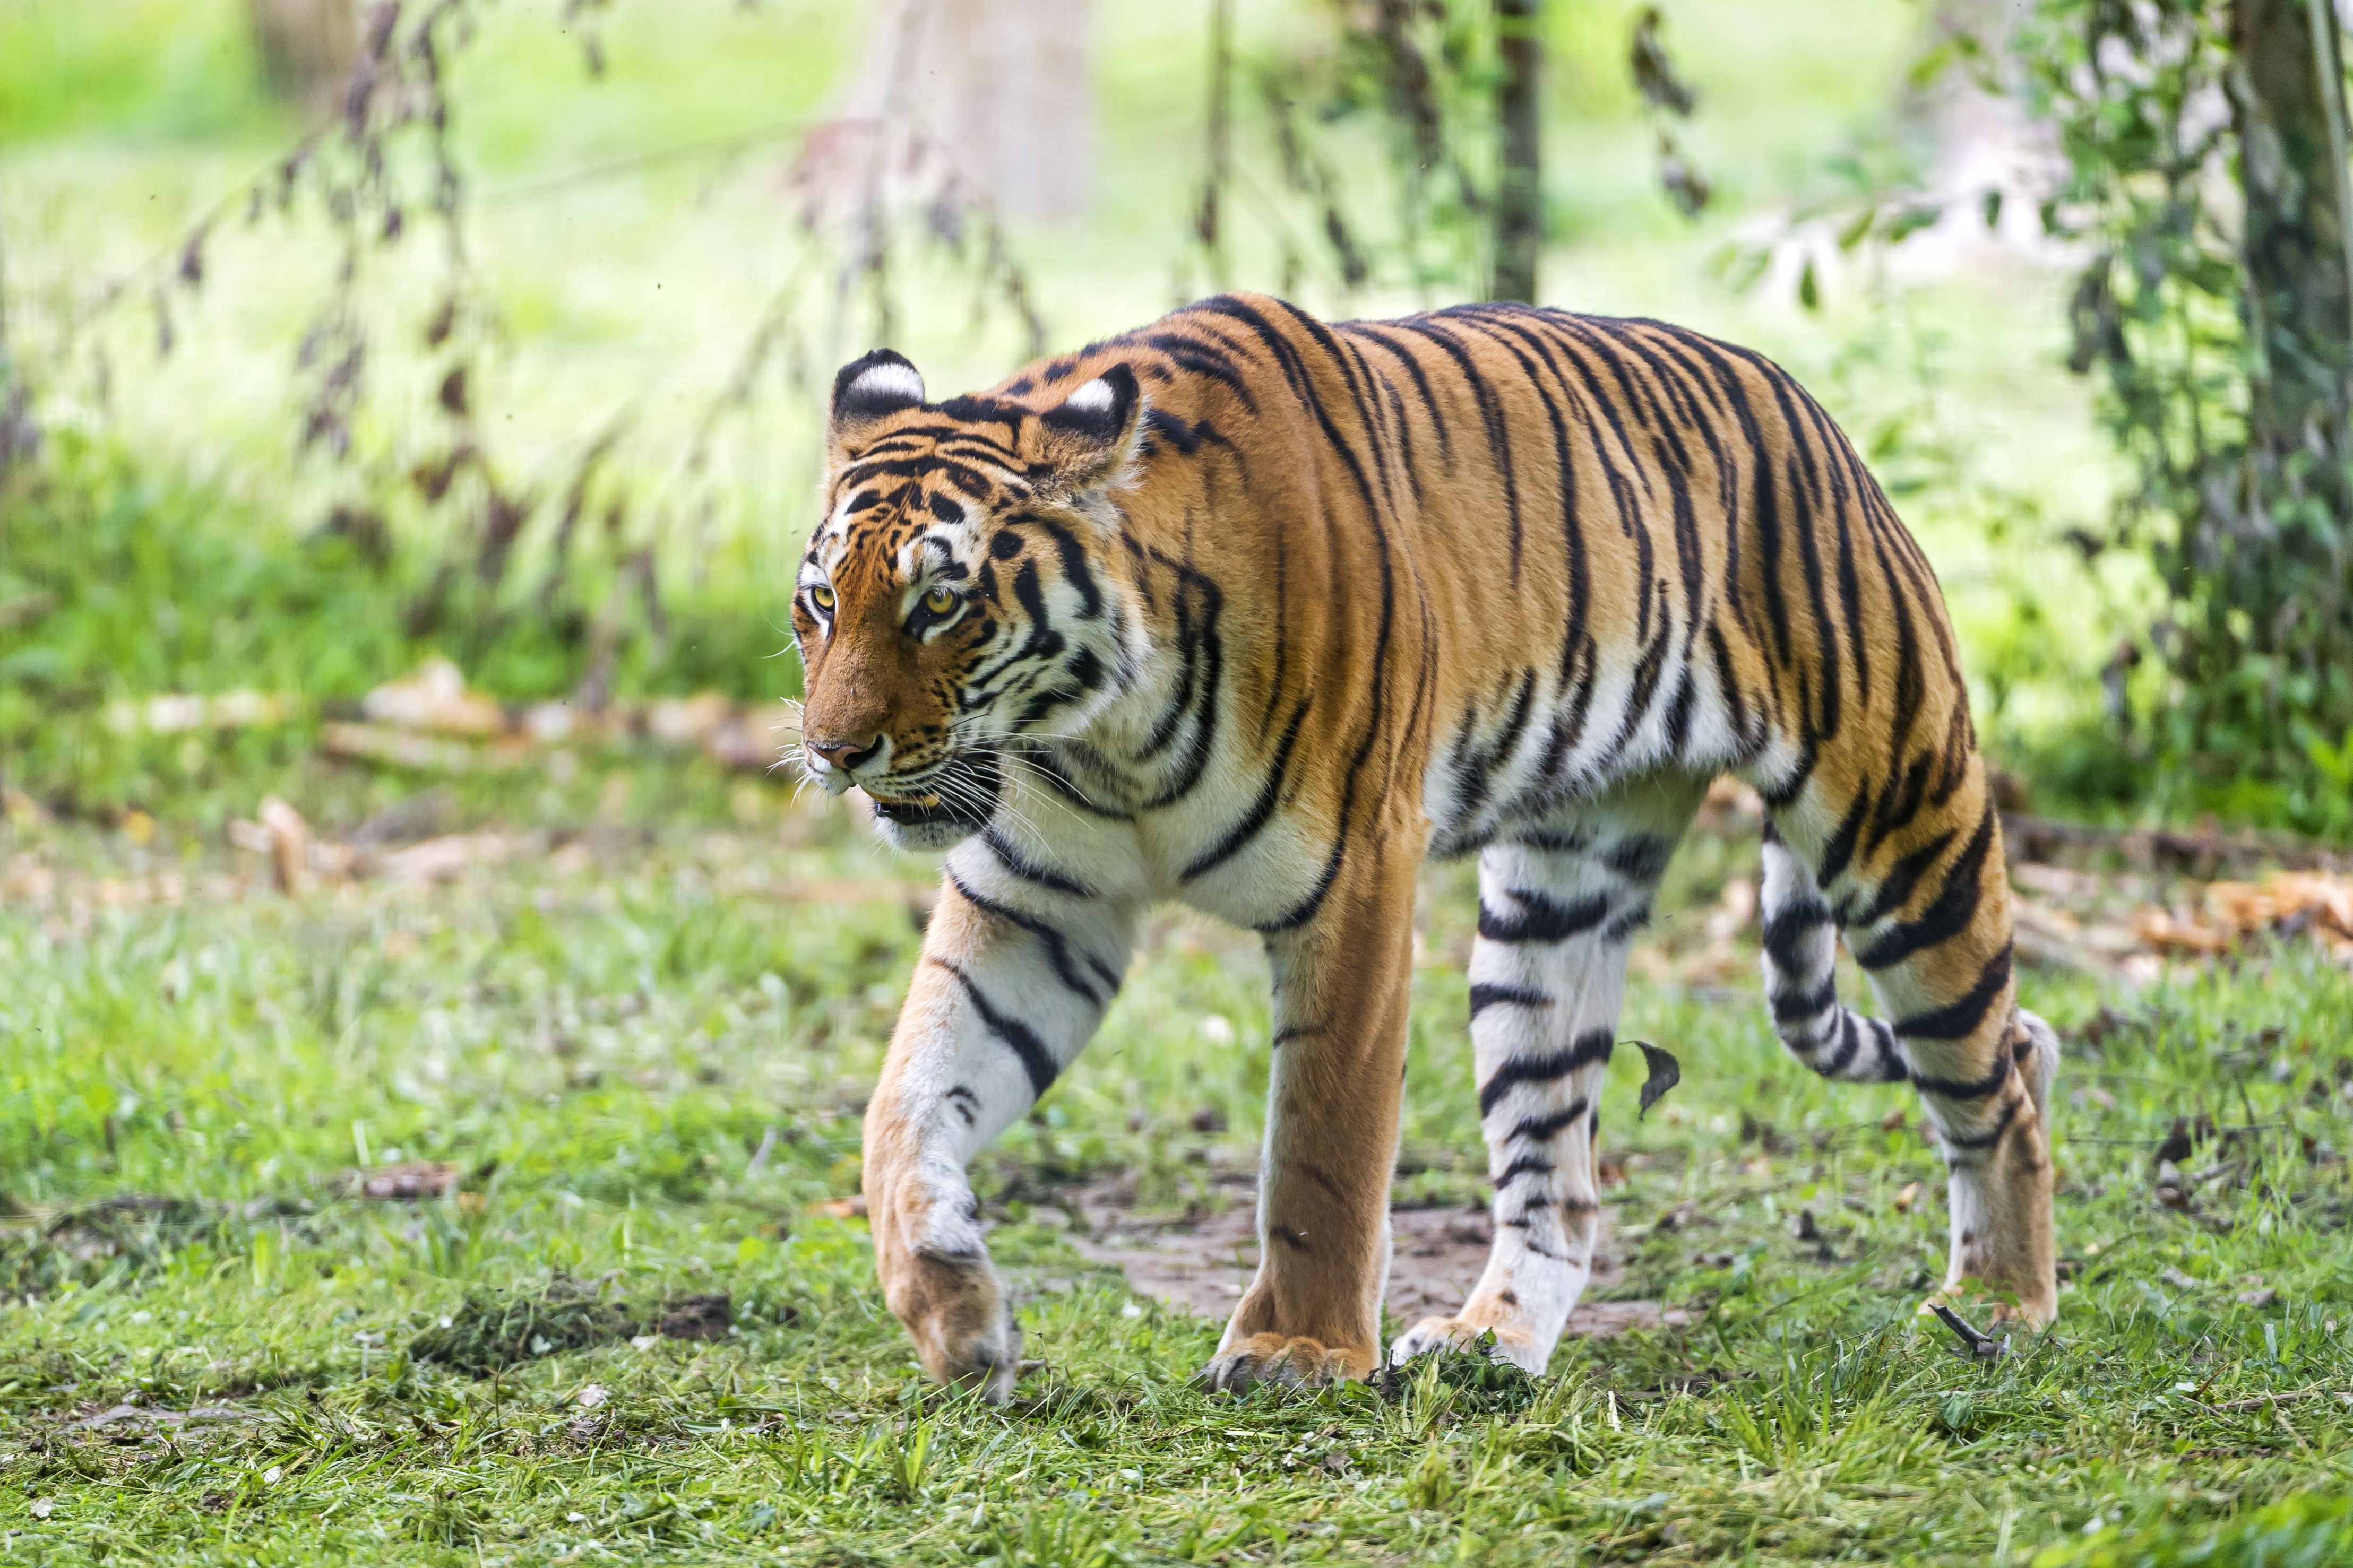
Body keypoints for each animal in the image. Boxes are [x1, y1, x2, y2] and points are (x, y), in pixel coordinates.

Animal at [795, 285, 2061, 1401]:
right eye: (820, 602)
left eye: (939, 604)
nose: (831, 749)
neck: (1101, 735)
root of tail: (1803, 408)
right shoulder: (1036, 904)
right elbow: (903, 1103)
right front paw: (953, 1311)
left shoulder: (1354, 879)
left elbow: (1321, 1147)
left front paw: (1298, 1352)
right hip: (1552, 909)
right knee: (1562, 1184)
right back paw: (1482, 1346)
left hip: (1901, 827)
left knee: (1999, 1076)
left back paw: (1998, 1305)